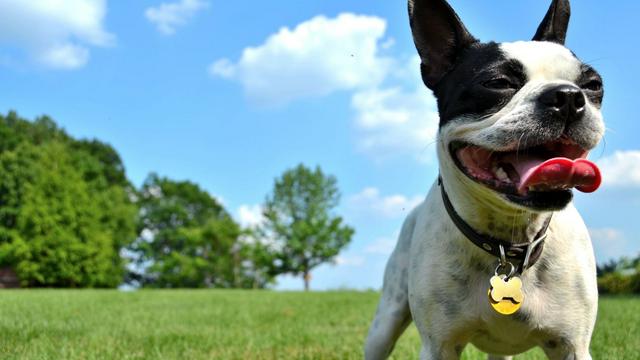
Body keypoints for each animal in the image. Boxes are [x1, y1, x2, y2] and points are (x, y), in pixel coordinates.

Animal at [364, 0, 604, 360]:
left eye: (593, 85)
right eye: (498, 82)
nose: (567, 96)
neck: (509, 240)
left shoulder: (572, 346)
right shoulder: (438, 346)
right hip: (386, 321)